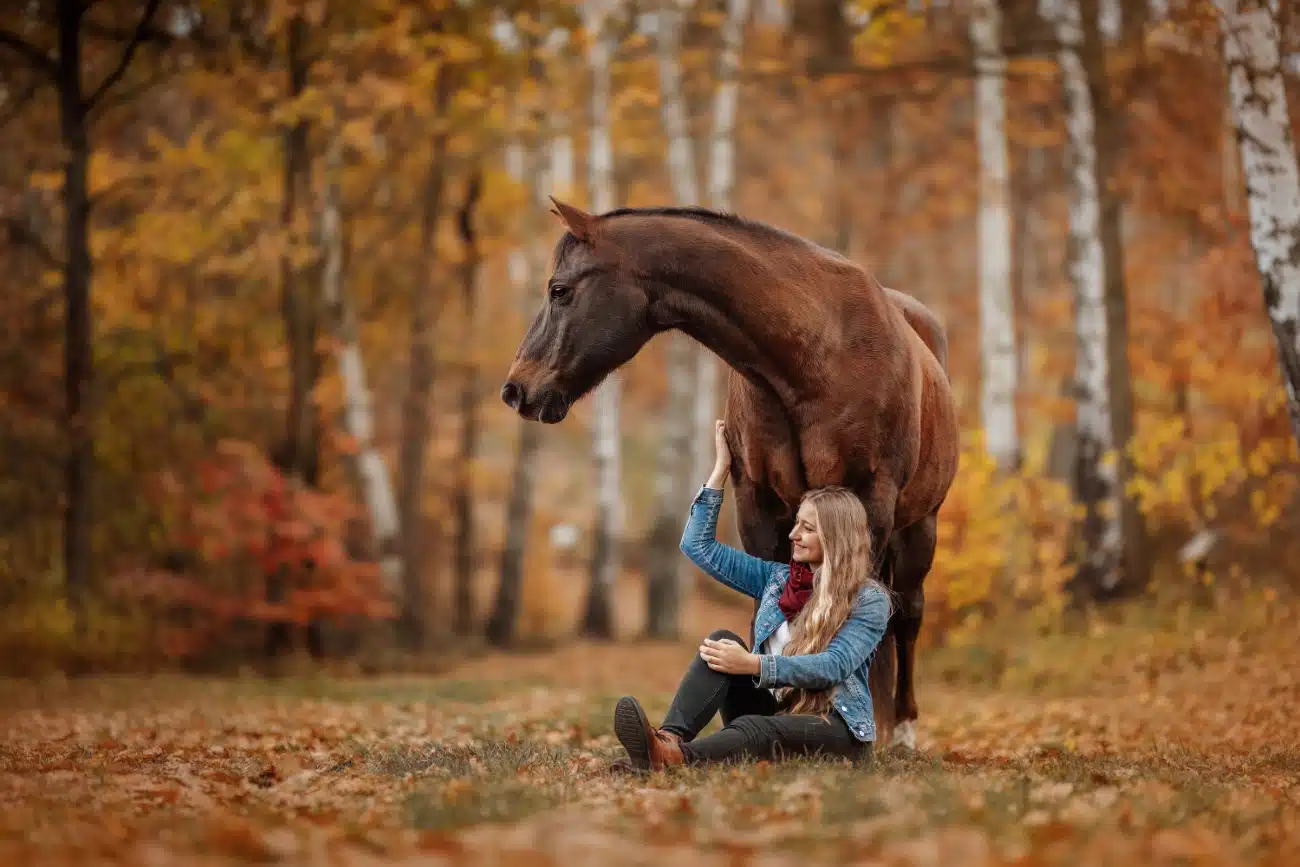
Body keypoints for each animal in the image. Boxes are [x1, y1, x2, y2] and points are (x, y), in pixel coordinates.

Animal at [501, 200, 961, 748]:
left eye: (560, 290)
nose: (515, 390)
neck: (818, 353)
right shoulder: (758, 506)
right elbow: (767, 602)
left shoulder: (868, 503)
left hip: (919, 529)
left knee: (907, 616)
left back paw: (904, 731)